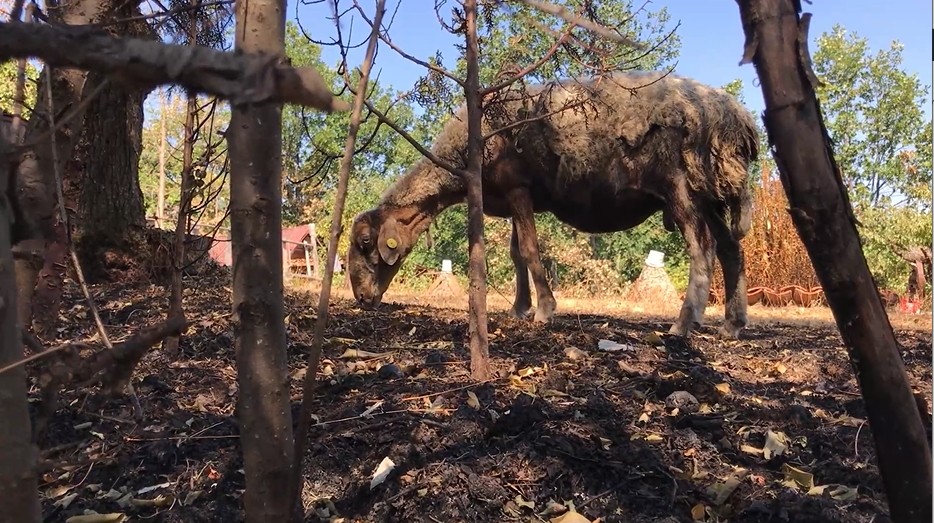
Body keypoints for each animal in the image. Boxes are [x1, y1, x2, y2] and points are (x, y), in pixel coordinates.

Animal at [348, 70, 764, 340]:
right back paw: (732, 324)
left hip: (680, 183)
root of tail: (736, 119)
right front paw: (519, 308)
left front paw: (545, 310)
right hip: (709, 190)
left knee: (703, 247)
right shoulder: (514, 197)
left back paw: (683, 323)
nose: (362, 298)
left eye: (366, 243)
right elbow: (517, 254)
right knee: (731, 250)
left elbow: (531, 250)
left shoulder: (517, 186)